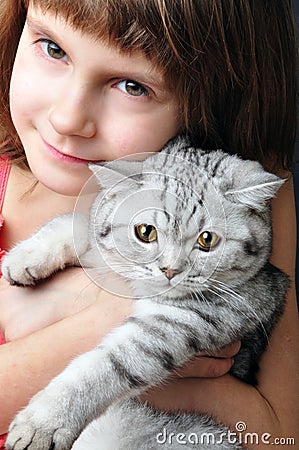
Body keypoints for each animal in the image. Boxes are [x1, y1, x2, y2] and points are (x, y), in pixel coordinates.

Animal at [2, 137, 288, 450]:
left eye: (207, 239)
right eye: (145, 232)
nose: (170, 270)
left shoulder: (188, 320)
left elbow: (104, 367)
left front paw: (44, 422)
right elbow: (75, 222)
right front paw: (23, 258)